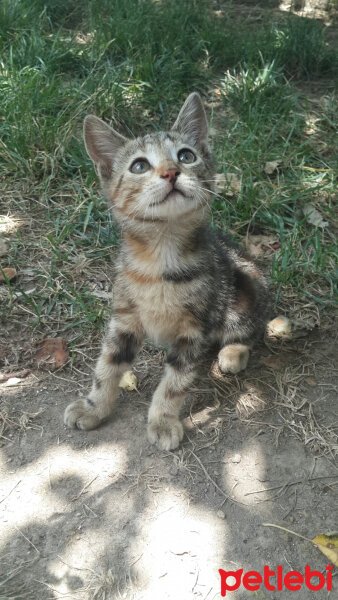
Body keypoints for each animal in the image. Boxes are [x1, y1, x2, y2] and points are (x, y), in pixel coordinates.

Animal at [63, 92, 270, 450]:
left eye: (186, 156)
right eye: (139, 165)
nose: (171, 172)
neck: (159, 259)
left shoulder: (194, 330)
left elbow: (174, 383)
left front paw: (162, 420)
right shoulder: (123, 321)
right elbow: (106, 367)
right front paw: (94, 405)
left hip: (244, 288)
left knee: (251, 329)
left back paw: (233, 352)